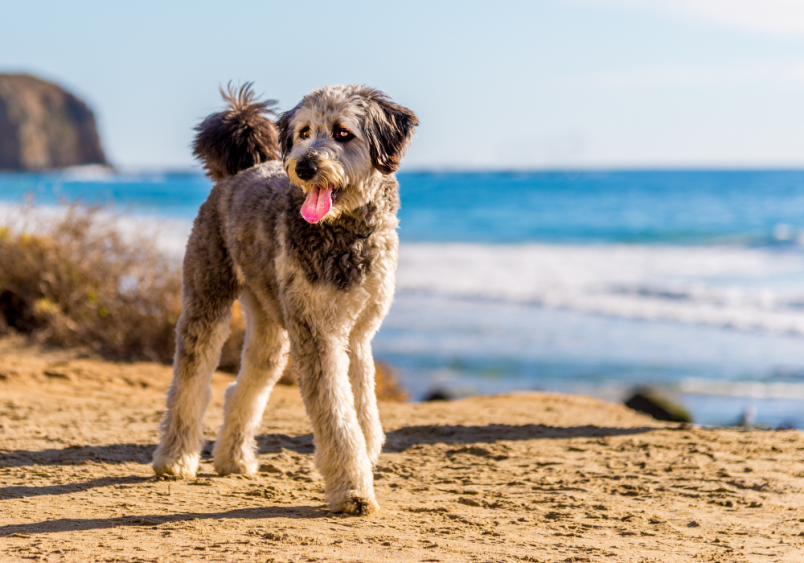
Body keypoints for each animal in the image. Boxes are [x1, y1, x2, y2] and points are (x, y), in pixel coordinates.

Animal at [151, 82, 418, 516]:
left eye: (343, 132)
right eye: (304, 132)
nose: (304, 166)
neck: (344, 233)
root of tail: (239, 172)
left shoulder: (358, 335)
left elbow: (363, 407)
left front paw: (366, 454)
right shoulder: (318, 335)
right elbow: (338, 416)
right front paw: (352, 488)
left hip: (270, 325)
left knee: (244, 386)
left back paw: (233, 458)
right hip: (207, 300)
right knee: (190, 382)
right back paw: (174, 457)